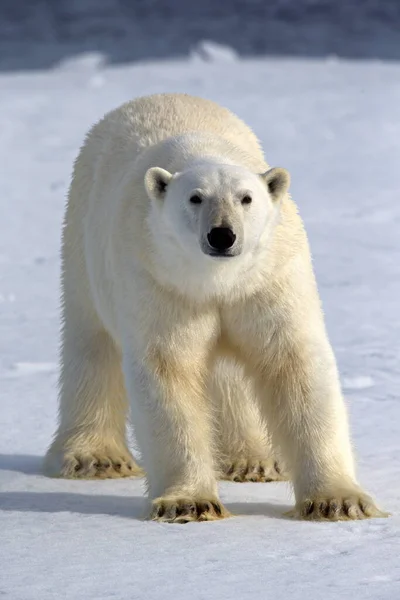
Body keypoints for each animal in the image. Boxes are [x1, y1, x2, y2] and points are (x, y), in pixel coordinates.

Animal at [45, 91, 386, 524]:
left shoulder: (267, 281)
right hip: (83, 240)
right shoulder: (161, 281)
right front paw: (189, 502)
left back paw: (254, 460)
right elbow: (169, 370)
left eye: (246, 198)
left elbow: (293, 364)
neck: (218, 280)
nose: (222, 235)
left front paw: (339, 501)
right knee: (91, 343)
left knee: (230, 375)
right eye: (195, 198)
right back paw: (95, 458)